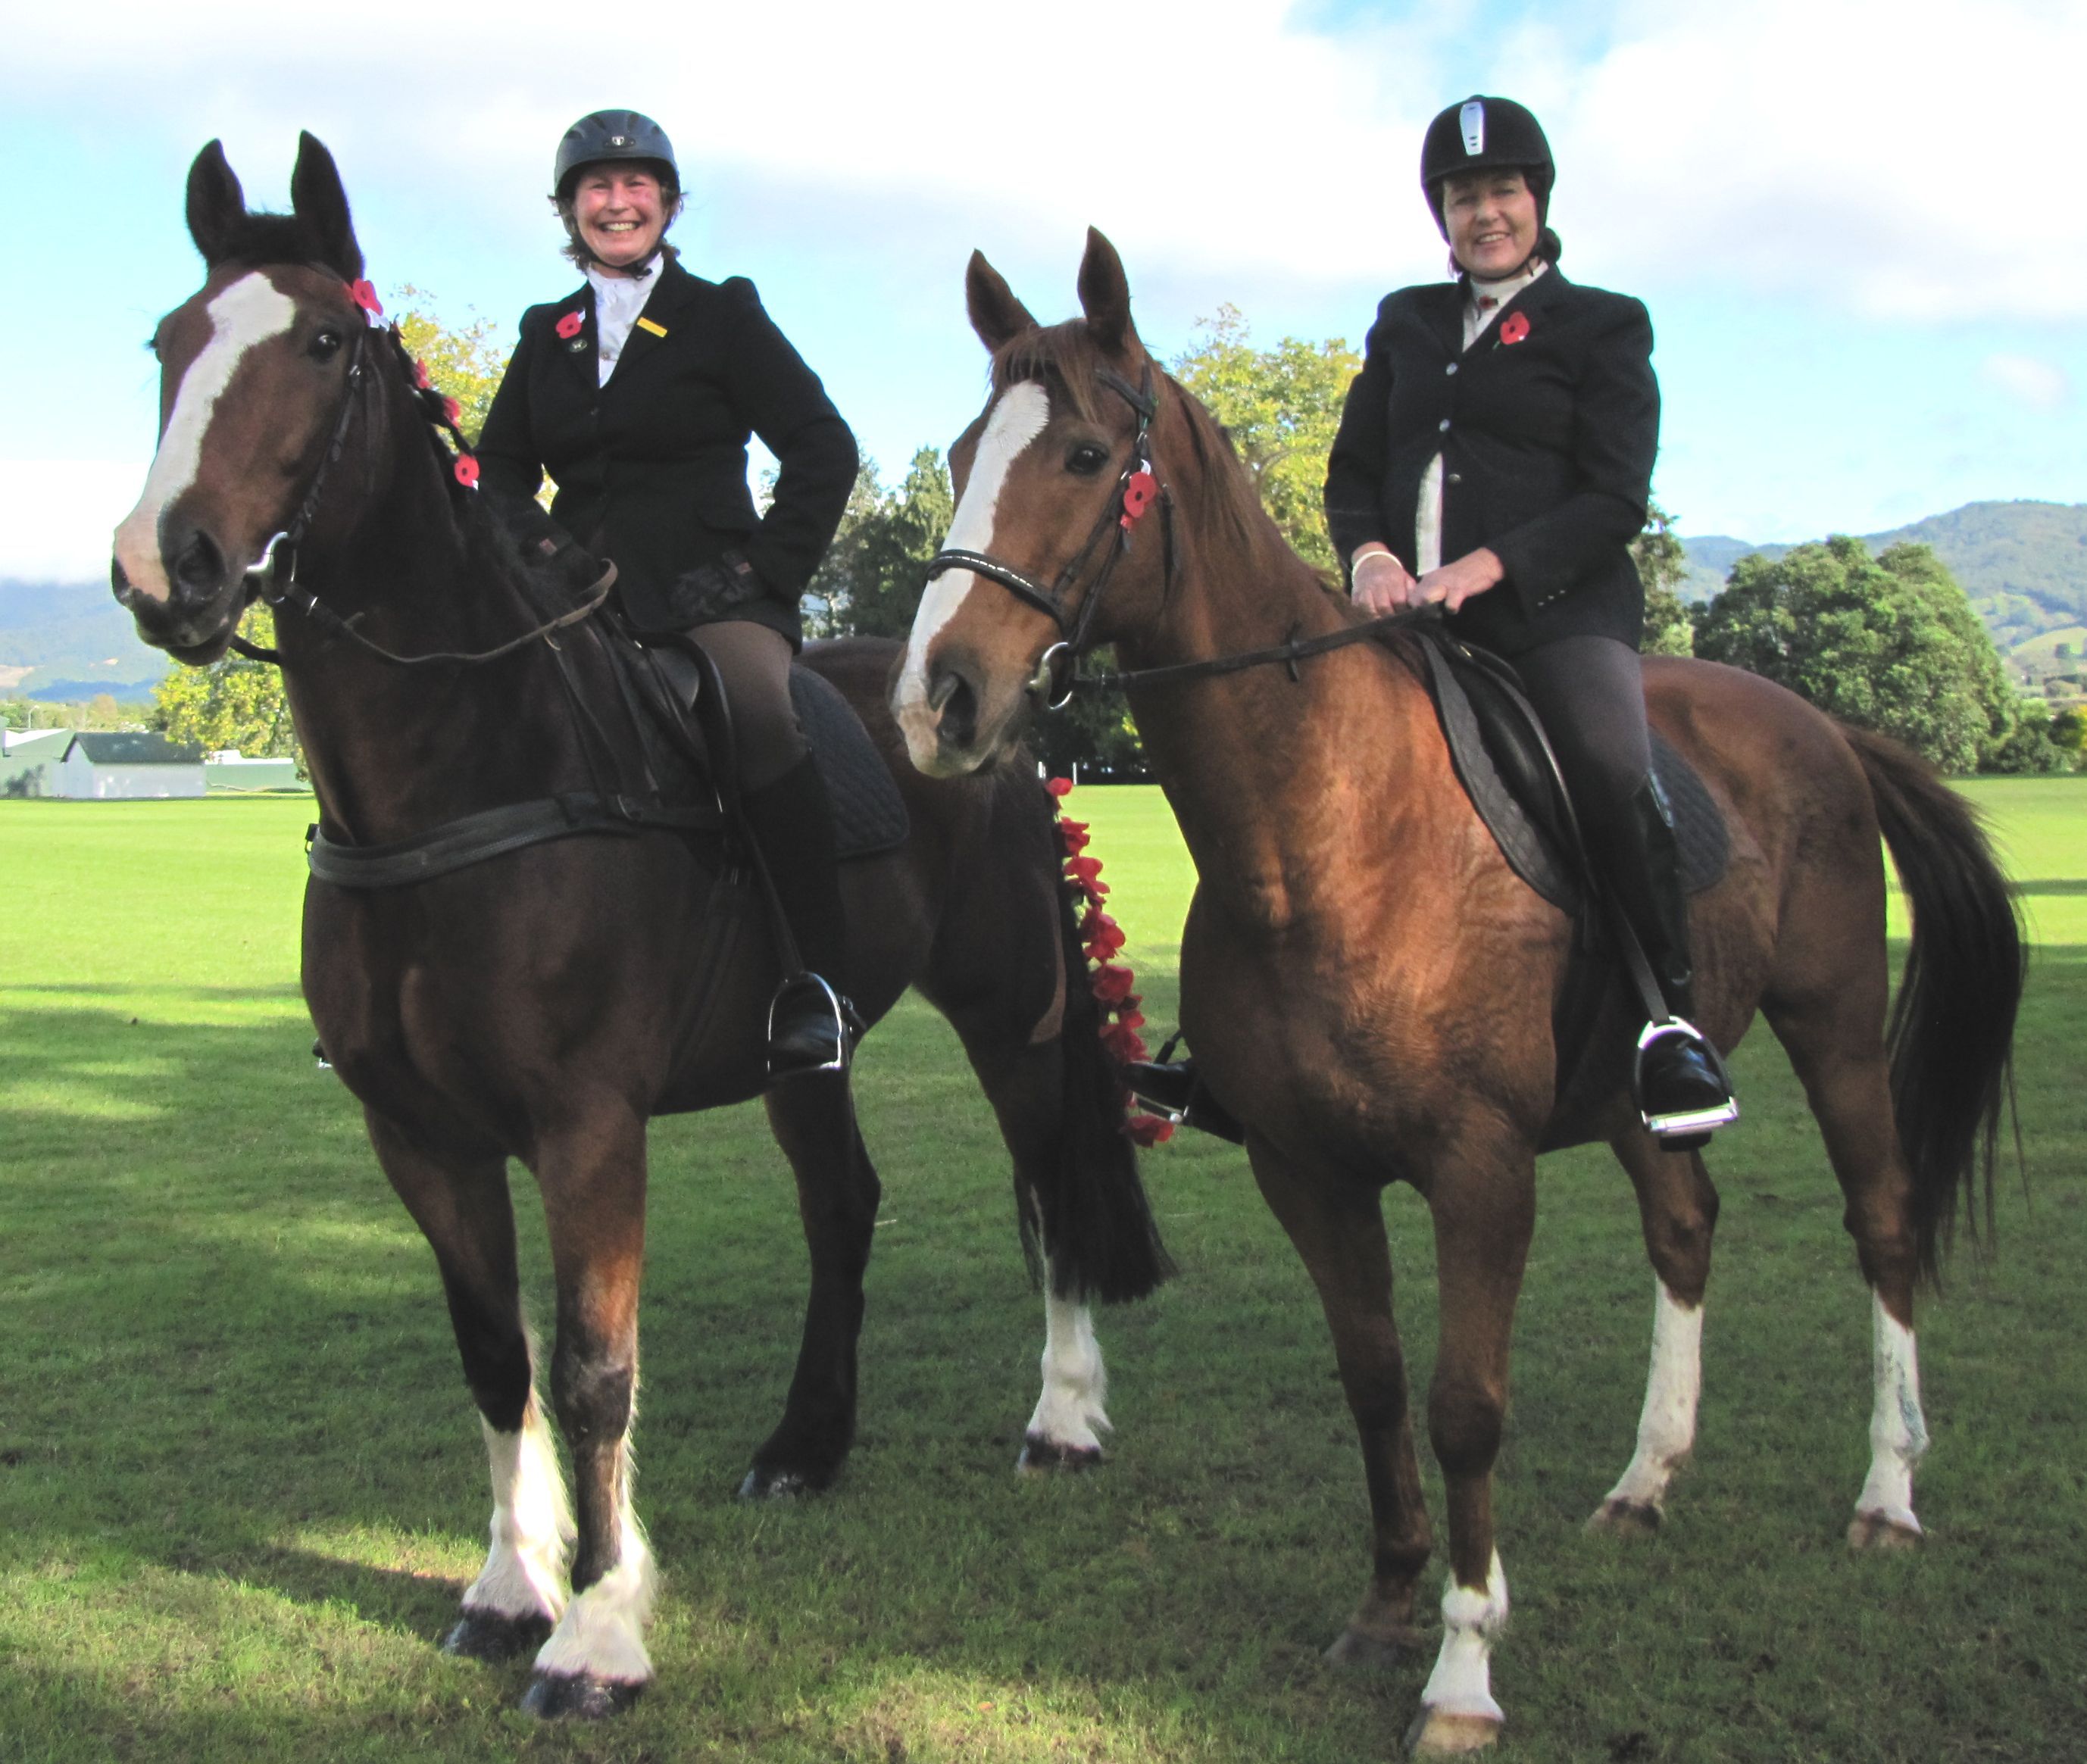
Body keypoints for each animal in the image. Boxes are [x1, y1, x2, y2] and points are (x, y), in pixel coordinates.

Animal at [110, 141, 1176, 1720]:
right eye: (168, 345)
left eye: (315, 345)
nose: (161, 564)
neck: (461, 767)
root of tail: (992, 716)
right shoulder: (417, 1132)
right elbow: (493, 1353)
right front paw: (508, 1588)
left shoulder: (588, 1121)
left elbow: (594, 1364)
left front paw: (601, 1630)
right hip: (809, 1048)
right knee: (843, 1201)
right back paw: (808, 1443)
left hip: (1008, 1011)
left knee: (1046, 1185)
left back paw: (1065, 1414)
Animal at [885, 230, 2020, 1745]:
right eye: (960, 452)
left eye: (1078, 454)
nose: (934, 702)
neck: (1319, 831)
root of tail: (1817, 720)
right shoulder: (1306, 1168)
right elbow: (1373, 1381)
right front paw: (1384, 1608)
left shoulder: (1481, 1167)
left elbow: (1465, 1400)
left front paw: (1464, 1666)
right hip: (1630, 1085)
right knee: (1684, 1225)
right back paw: (1645, 1481)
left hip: (1833, 1026)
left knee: (1883, 1223)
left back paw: (1887, 1493)